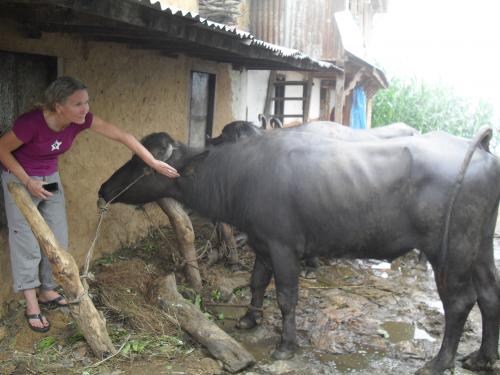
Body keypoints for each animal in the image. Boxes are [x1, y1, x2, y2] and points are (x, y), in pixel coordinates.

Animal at [98, 128, 500, 374]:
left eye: (142, 163)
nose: (103, 188)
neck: (239, 175)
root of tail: (479, 150)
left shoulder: (283, 247)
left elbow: (286, 297)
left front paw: (285, 345)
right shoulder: (262, 244)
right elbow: (257, 281)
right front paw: (249, 319)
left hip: (451, 252)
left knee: (460, 303)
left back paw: (439, 362)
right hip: (480, 248)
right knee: (489, 295)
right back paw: (482, 357)